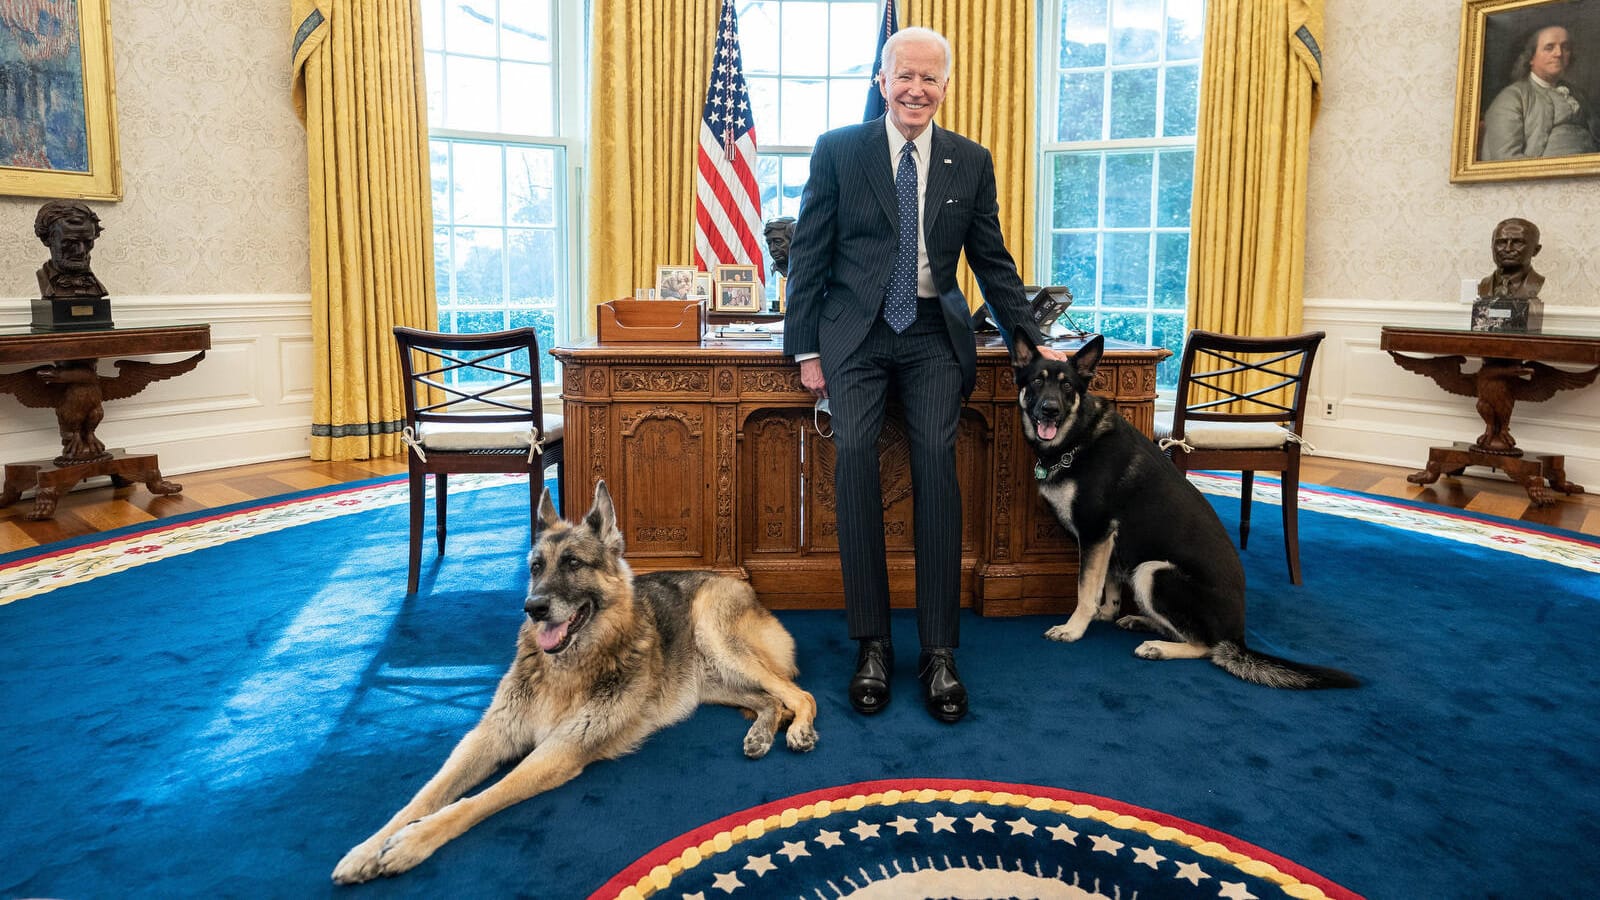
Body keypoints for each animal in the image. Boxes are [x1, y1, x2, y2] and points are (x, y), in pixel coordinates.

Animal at [329, 480, 819, 877]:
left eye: (573, 563)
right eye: (535, 567)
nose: (533, 608)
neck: (567, 667)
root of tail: (740, 583)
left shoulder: (559, 750)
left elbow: (479, 798)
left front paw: (414, 840)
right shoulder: (489, 737)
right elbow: (424, 796)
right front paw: (367, 848)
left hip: (719, 640)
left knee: (799, 695)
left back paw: (798, 731)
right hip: (711, 682)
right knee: (770, 700)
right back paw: (760, 733)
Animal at [1004, 329, 1356, 685]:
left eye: (1067, 387)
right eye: (1037, 381)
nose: (1049, 410)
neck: (1077, 438)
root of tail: (1238, 636)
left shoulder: (1095, 535)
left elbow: (1085, 589)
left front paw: (1074, 628)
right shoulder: (1110, 544)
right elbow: (1110, 585)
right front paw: (1107, 613)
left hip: (1153, 572)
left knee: (1206, 647)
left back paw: (1159, 647)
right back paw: (1143, 622)